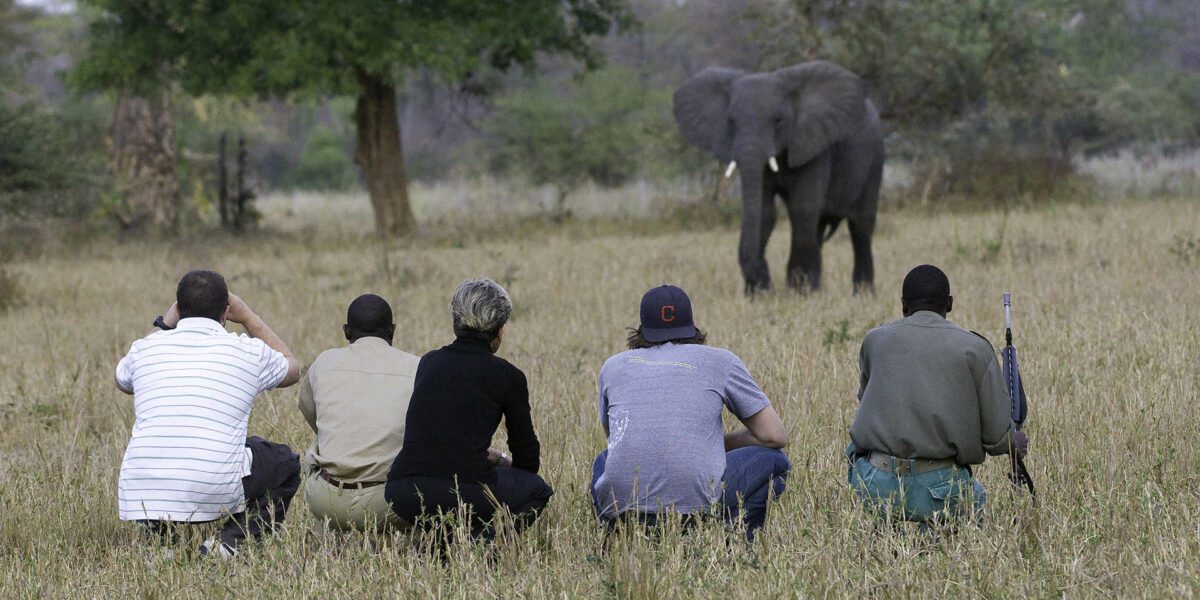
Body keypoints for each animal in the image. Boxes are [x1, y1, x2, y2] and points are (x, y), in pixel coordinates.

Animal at [672, 60, 888, 295]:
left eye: (779, 121)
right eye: (731, 122)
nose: (761, 278)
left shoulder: (813, 144)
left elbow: (803, 207)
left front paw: (797, 291)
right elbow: (764, 212)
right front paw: (761, 294)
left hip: (876, 156)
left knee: (860, 225)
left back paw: (862, 293)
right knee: (819, 227)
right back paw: (816, 288)